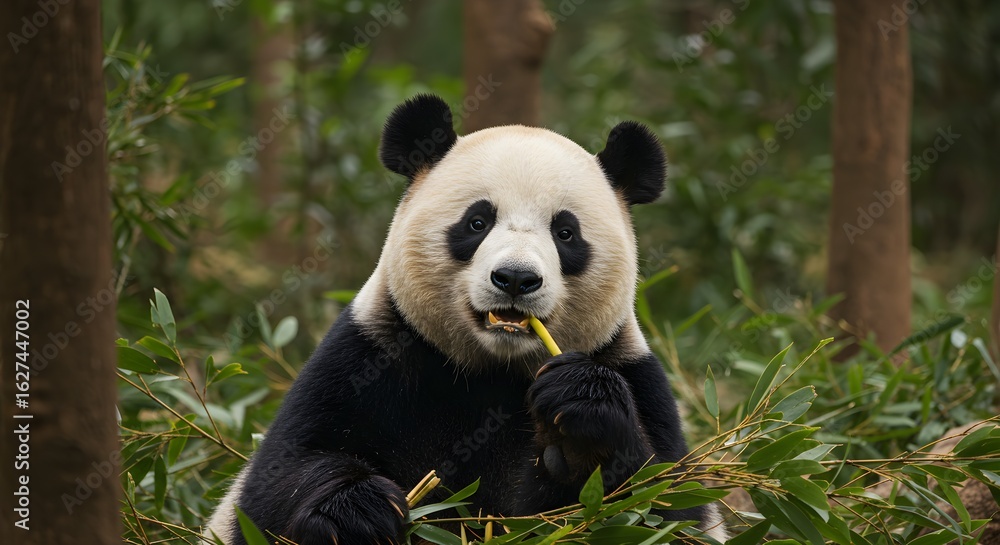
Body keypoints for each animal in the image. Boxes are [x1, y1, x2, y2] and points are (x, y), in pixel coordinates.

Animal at [207, 94, 726, 544]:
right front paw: (357, 511)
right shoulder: (368, 354)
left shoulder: (634, 373)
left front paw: (581, 416)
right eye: (477, 222)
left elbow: (665, 507)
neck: (491, 372)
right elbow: (277, 482)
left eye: (565, 233)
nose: (515, 278)